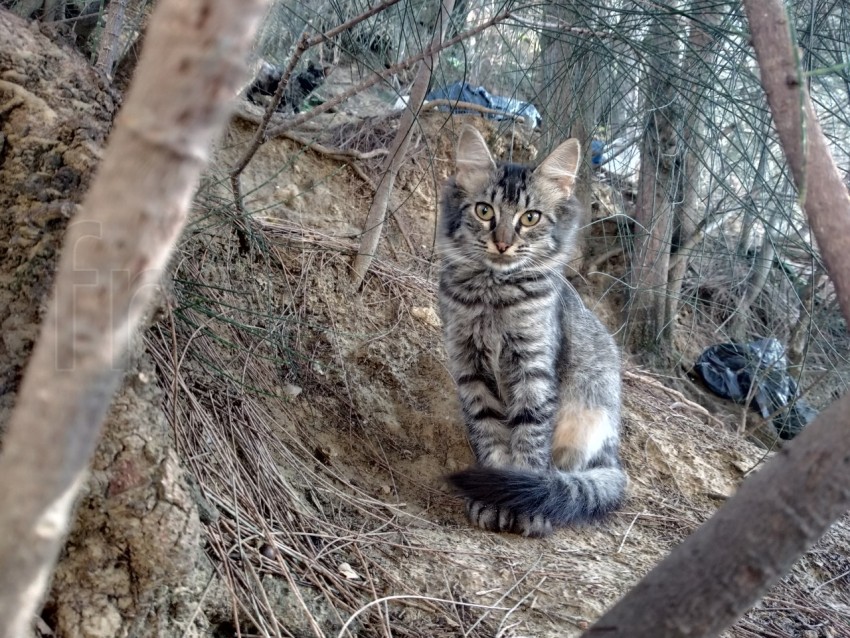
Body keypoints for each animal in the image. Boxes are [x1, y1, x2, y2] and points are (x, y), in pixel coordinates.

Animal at [438, 126, 624, 540]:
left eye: (530, 217)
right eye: (485, 211)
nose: (503, 243)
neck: (493, 294)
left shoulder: (533, 370)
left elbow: (528, 439)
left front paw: (523, 505)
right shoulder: (470, 370)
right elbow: (490, 435)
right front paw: (493, 499)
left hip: (589, 414)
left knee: (565, 470)